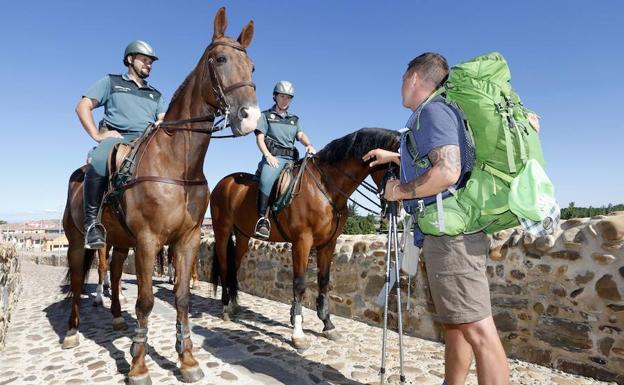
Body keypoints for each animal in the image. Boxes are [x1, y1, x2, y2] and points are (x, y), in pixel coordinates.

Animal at [62, 7, 258, 382]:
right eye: (221, 58)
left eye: (252, 67)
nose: (250, 116)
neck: (177, 167)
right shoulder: (148, 241)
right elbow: (147, 301)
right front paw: (138, 365)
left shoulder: (187, 240)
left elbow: (181, 298)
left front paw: (188, 360)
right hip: (79, 241)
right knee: (79, 280)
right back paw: (72, 330)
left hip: (121, 243)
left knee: (113, 272)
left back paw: (116, 317)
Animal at [207, 128, 398, 348]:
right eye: (396, 165)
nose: (399, 208)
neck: (325, 188)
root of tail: (224, 183)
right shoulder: (302, 242)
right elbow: (299, 283)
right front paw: (298, 332)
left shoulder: (328, 244)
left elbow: (323, 281)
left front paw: (327, 324)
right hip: (222, 231)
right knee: (224, 266)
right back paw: (225, 307)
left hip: (243, 237)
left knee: (234, 267)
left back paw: (233, 304)